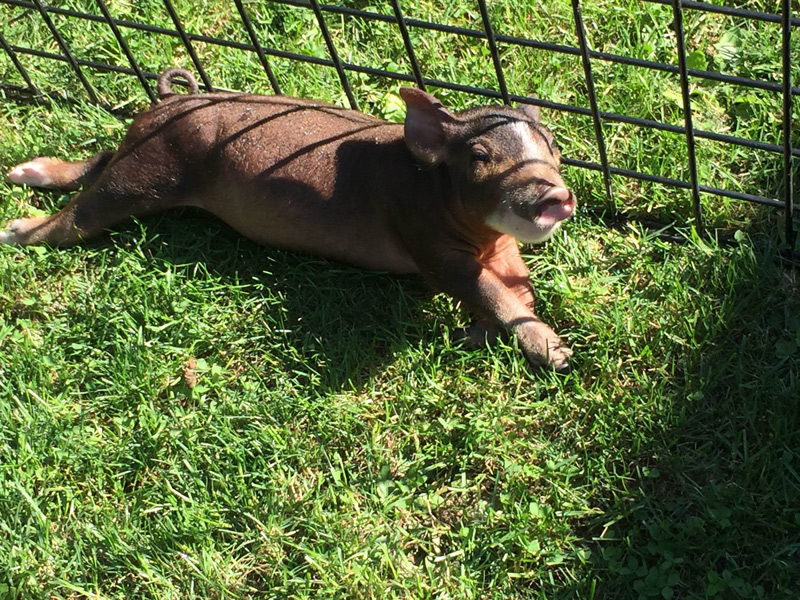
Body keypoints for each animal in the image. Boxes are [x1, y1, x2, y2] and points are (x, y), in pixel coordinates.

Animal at [3, 68, 576, 371]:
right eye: (479, 156)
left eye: (552, 149)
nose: (555, 194)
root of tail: (169, 98)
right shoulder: (423, 237)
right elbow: (482, 286)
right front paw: (557, 354)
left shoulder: (503, 249)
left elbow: (520, 288)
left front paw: (477, 335)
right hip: (149, 171)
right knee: (80, 215)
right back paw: (14, 230)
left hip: (138, 155)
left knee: (97, 162)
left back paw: (23, 171)